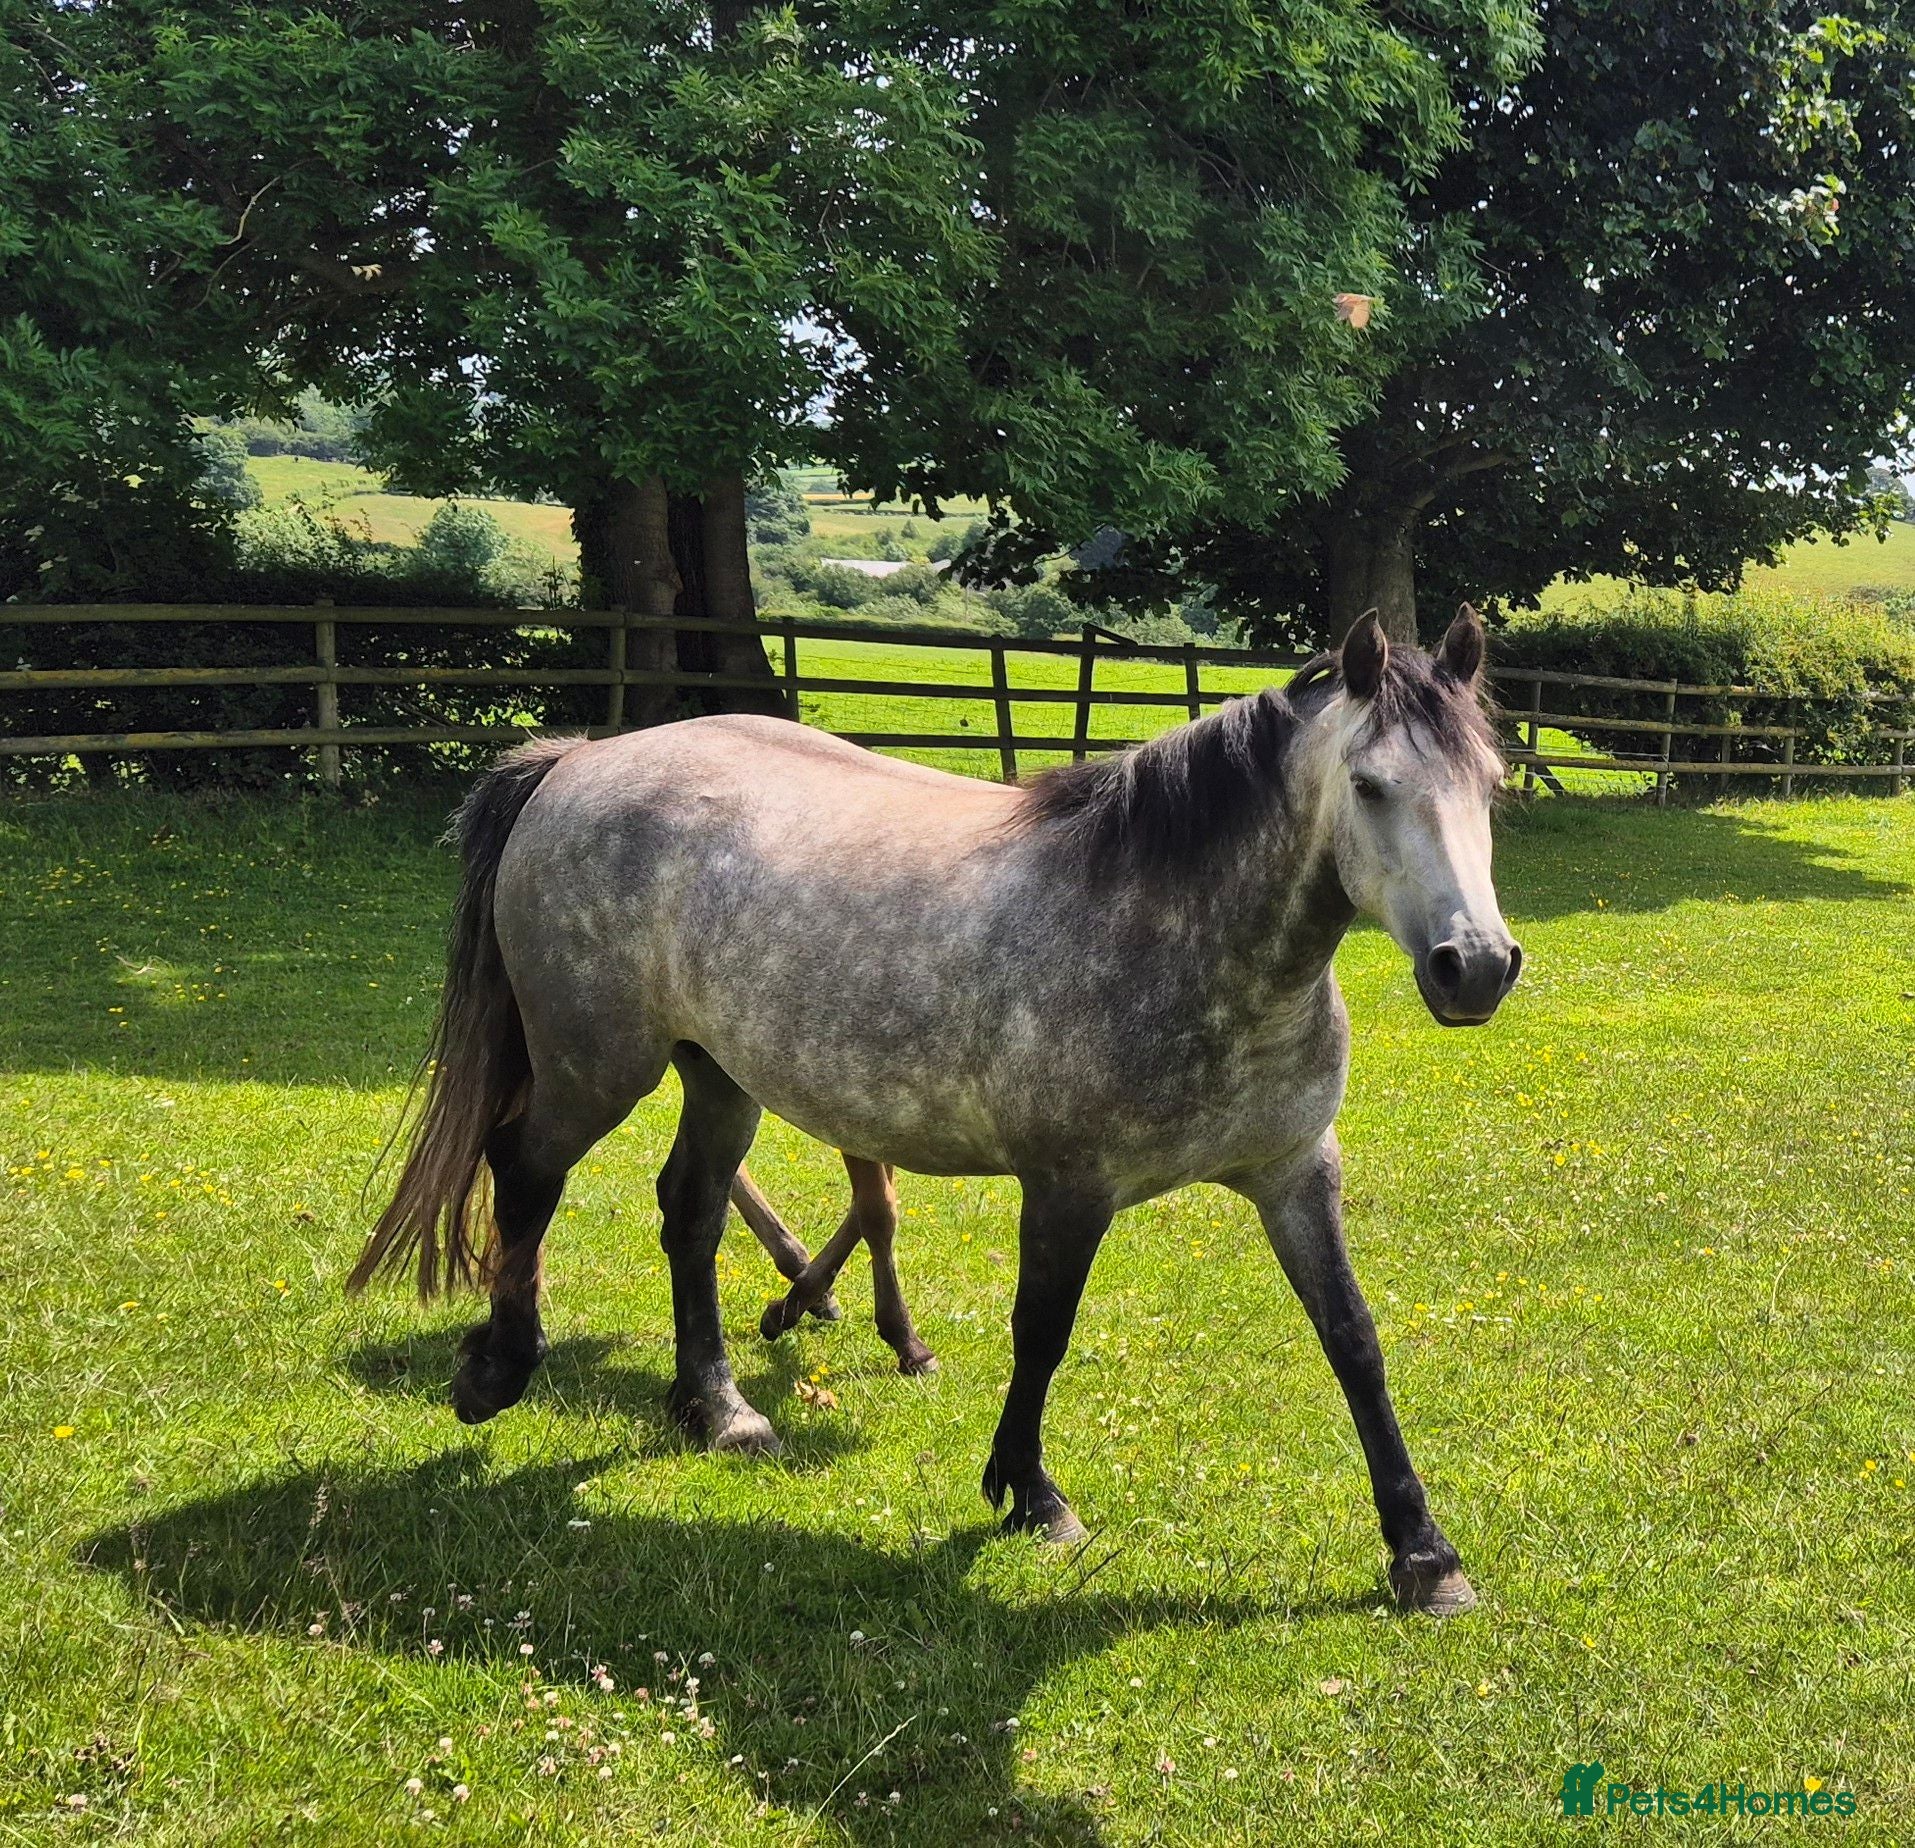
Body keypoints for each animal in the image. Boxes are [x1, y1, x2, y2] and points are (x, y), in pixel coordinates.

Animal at [348, 606, 1519, 1616]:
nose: (1475, 967)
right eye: (1368, 785)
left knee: (689, 1211)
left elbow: (1352, 1340)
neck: (1177, 932)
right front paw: (1030, 1495)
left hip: (719, 1077)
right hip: (594, 1065)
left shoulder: (1294, 1171)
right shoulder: (1069, 1188)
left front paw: (1424, 1555)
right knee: (524, 1171)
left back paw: (719, 1410)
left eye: (1492, 786)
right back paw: (496, 1372)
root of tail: (578, 761)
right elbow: (1041, 1332)